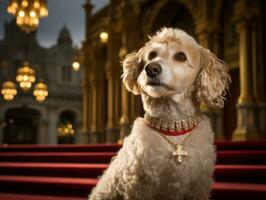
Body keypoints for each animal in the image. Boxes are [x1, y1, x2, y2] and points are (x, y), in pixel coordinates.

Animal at [89, 27, 231, 200]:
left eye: (181, 56)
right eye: (151, 55)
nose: (151, 68)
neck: (172, 126)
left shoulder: (198, 186)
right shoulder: (139, 186)